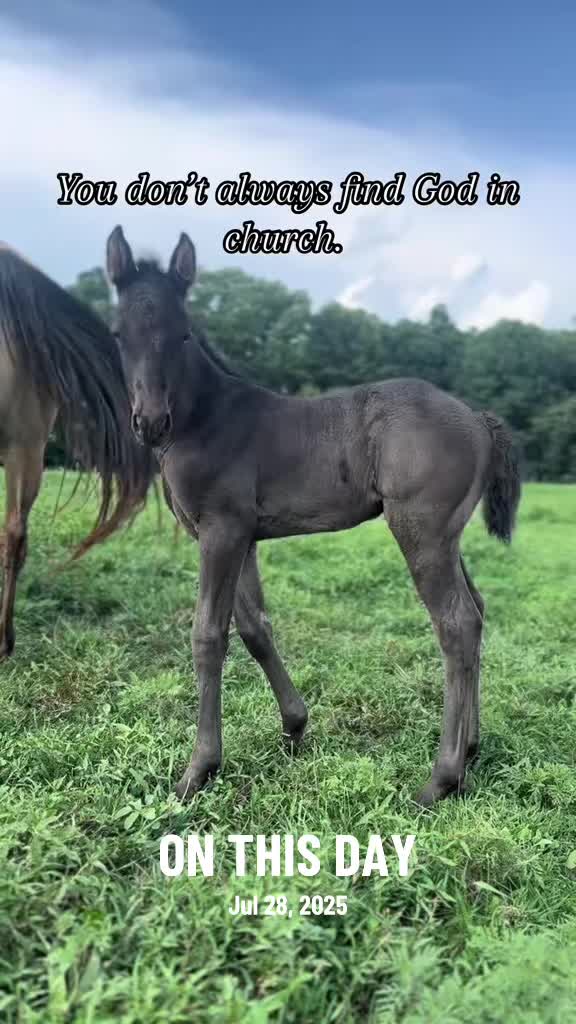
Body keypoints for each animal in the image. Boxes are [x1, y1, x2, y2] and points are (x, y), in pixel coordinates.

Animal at [106, 225, 521, 807]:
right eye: (118, 333)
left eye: (183, 335)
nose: (150, 422)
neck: (204, 419)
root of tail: (478, 418)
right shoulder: (239, 536)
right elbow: (254, 628)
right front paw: (294, 726)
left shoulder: (220, 531)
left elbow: (208, 635)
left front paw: (198, 769)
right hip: (447, 534)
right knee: (477, 610)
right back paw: (472, 748)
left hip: (421, 531)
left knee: (455, 623)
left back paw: (441, 777)